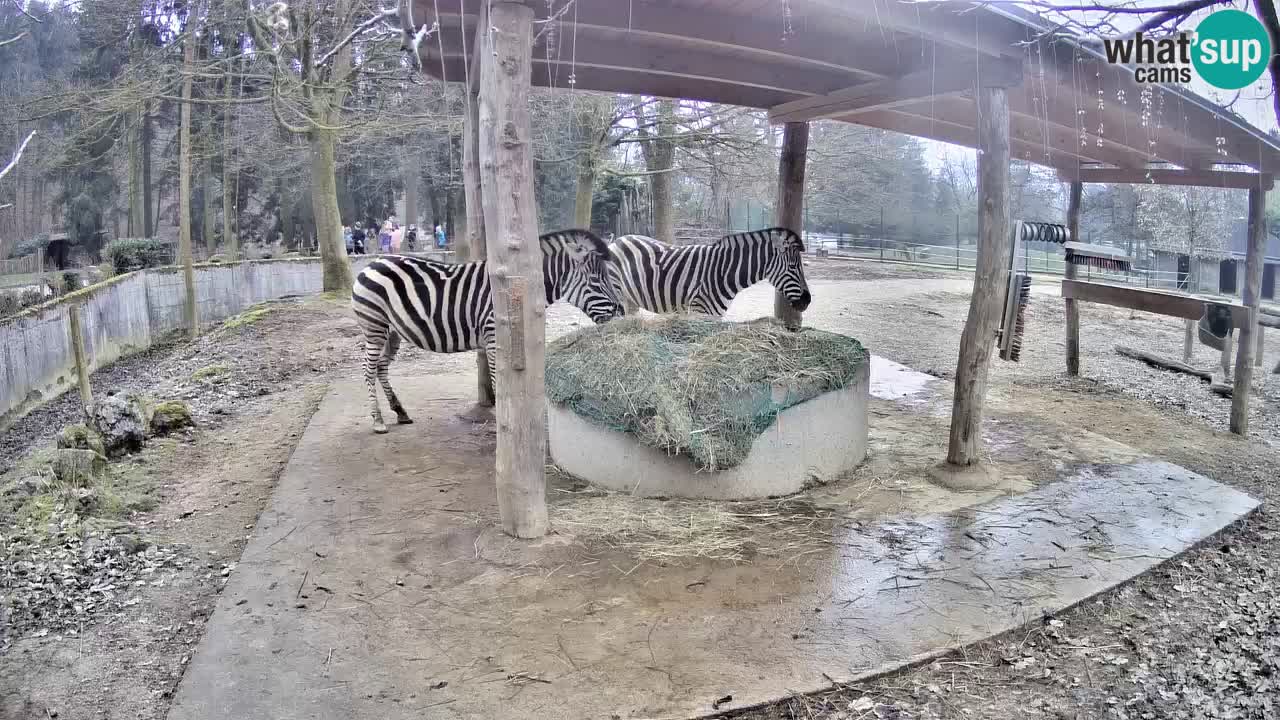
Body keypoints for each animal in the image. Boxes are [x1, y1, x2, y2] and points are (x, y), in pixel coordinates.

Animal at [350, 229, 619, 430]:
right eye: (597, 280)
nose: (621, 312)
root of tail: (373, 262)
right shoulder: (493, 335)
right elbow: (498, 382)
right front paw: (502, 428)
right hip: (374, 325)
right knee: (368, 368)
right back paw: (378, 420)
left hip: (393, 331)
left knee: (381, 367)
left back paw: (400, 412)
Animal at [606, 224, 808, 313]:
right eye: (792, 267)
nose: (807, 301)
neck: (723, 272)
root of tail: (618, 240)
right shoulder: (699, 312)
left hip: (629, 297)